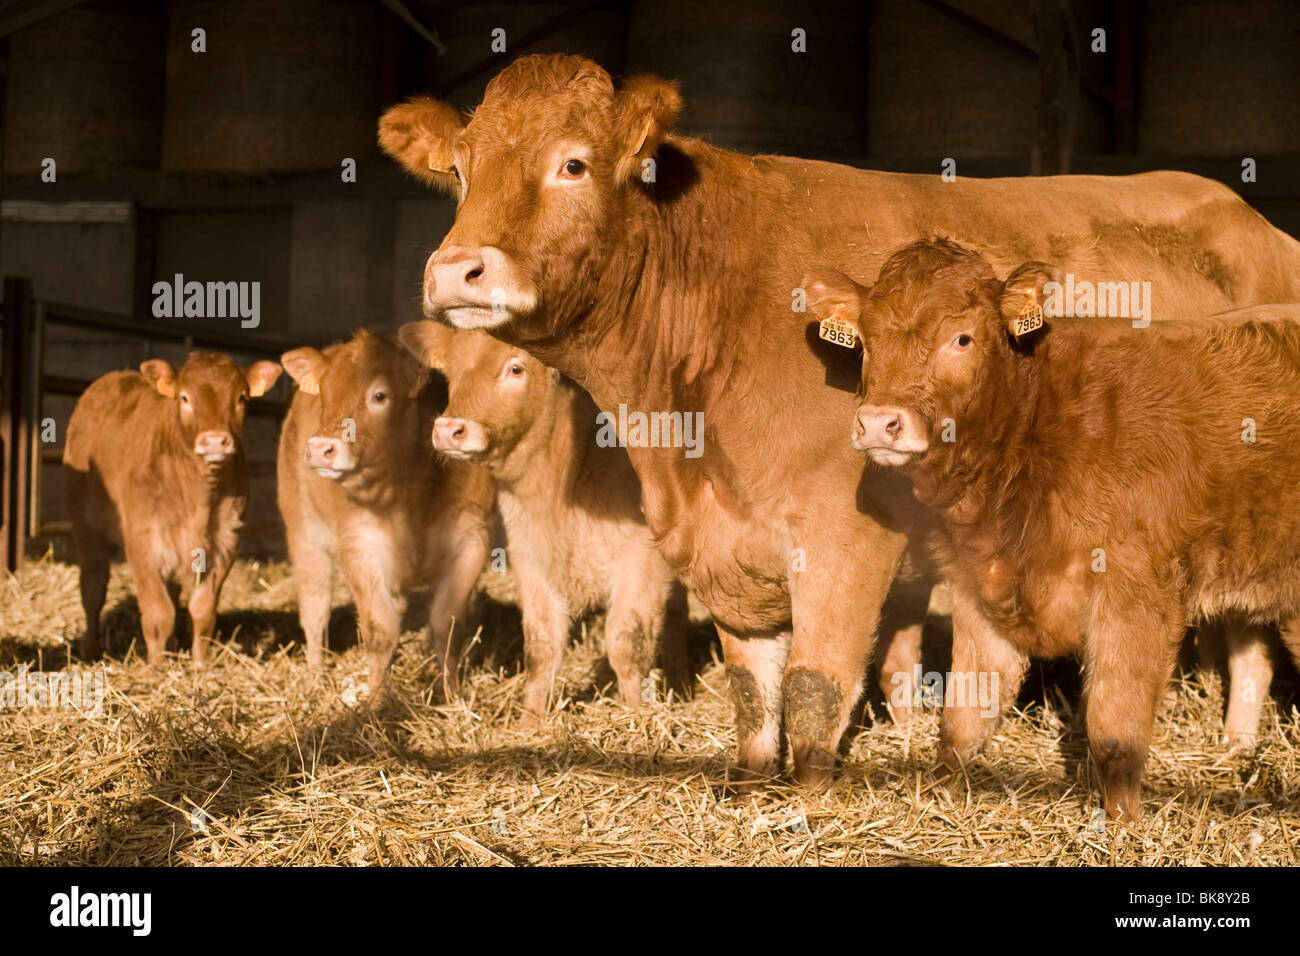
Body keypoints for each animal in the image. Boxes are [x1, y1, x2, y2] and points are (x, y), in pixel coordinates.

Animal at [63, 348, 282, 665]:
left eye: (241, 397)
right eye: (185, 397)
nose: (214, 440)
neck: (200, 494)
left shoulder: (226, 541)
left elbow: (202, 610)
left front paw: (199, 663)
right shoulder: (142, 541)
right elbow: (158, 612)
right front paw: (157, 666)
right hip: (87, 529)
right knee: (93, 588)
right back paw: (91, 650)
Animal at [276, 330, 493, 712]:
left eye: (380, 395)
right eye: (325, 394)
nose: (319, 448)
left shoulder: (472, 541)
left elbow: (447, 624)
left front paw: (451, 696)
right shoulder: (359, 547)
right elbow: (380, 628)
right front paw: (377, 703)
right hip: (304, 534)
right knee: (315, 609)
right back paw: (315, 676)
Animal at [400, 317, 691, 723]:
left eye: (516, 367)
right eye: (451, 372)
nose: (448, 430)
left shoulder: (641, 557)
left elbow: (625, 642)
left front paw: (635, 718)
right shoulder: (530, 556)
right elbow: (541, 645)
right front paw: (530, 722)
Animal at [806, 235, 1300, 816]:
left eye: (962, 338)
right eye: (867, 341)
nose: (879, 422)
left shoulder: (1135, 592)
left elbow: (1114, 733)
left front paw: (1122, 826)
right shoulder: (978, 585)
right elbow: (963, 718)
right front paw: (942, 799)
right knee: (1253, 657)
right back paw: (1235, 747)